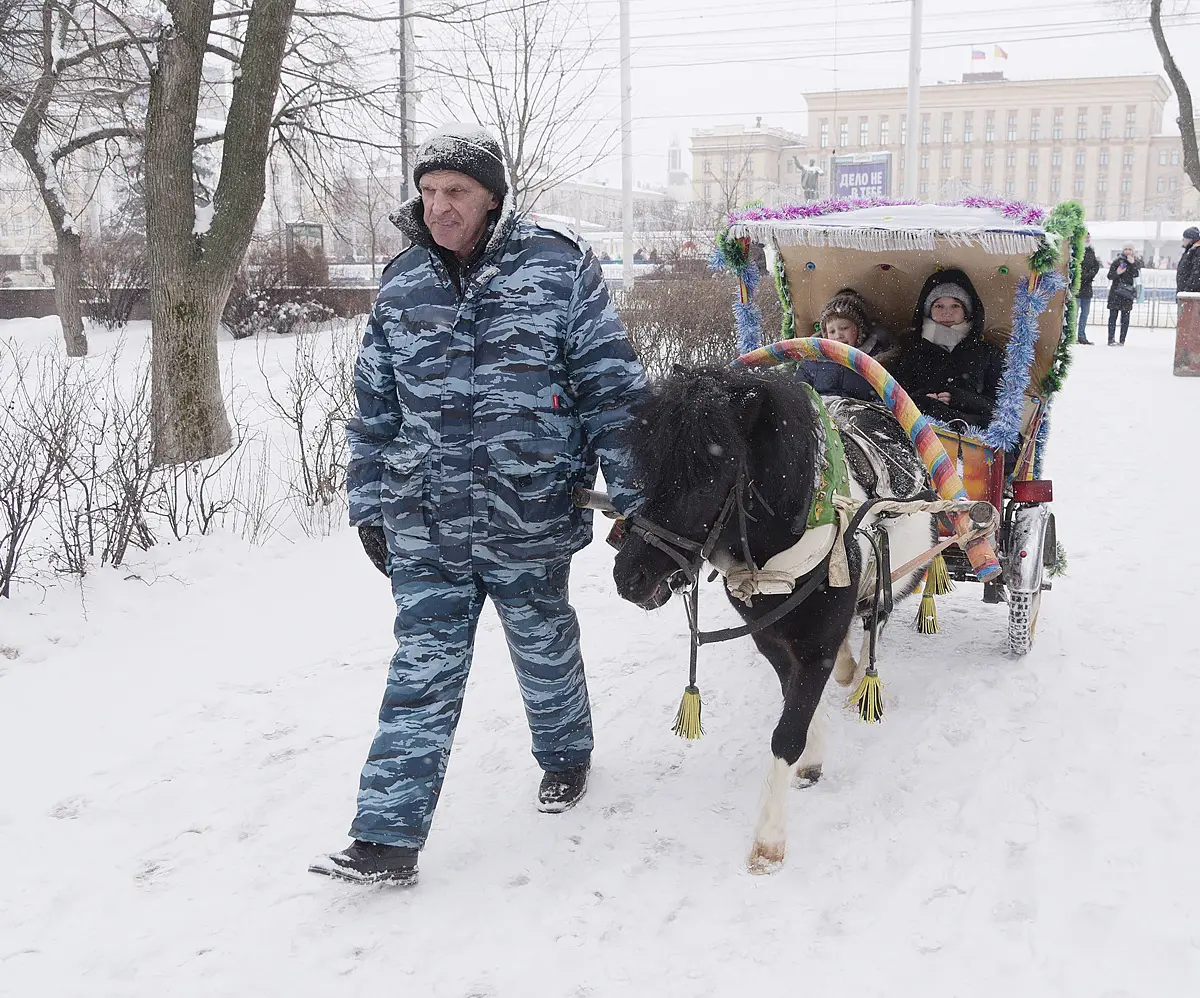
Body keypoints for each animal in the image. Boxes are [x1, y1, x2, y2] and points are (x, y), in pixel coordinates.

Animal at [619, 369, 936, 873]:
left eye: (707, 478)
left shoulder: (816, 645)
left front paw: (768, 840)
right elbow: (794, 697)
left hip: (899, 577)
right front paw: (813, 753)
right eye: (650, 469)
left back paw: (860, 675)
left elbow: (787, 732)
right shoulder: (770, 639)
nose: (629, 577)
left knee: (876, 620)